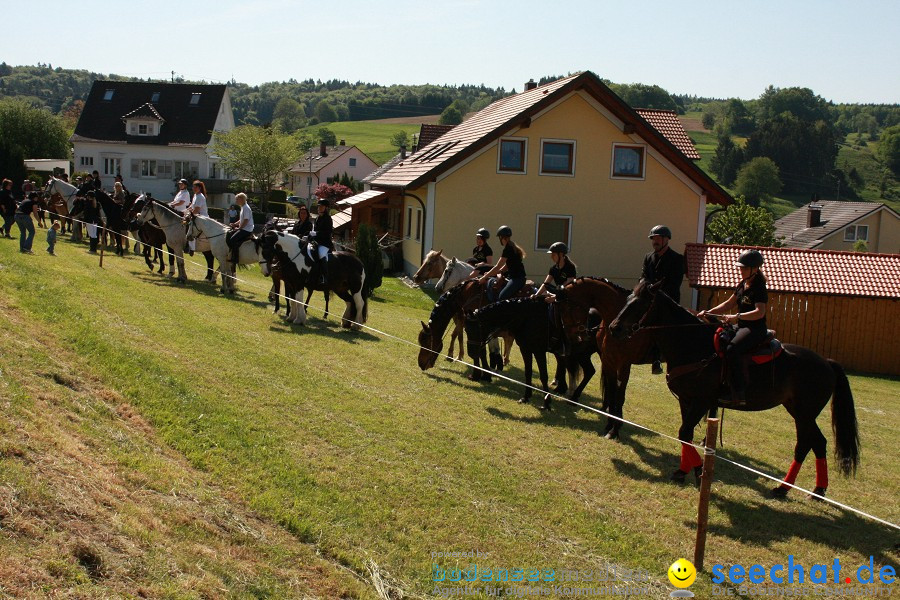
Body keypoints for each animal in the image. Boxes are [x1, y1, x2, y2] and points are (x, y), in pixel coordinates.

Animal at [608, 278, 860, 496]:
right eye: (628, 298)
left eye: (640, 304)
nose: (614, 328)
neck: (694, 345)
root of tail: (827, 362)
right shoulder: (686, 400)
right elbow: (685, 435)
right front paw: (683, 471)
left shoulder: (702, 401)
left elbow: (684, 432)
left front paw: (699, 472)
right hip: (799, 411)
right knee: (815, 443)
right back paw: (803, 489)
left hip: (804, 413)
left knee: (808, 444)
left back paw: (794, 489)